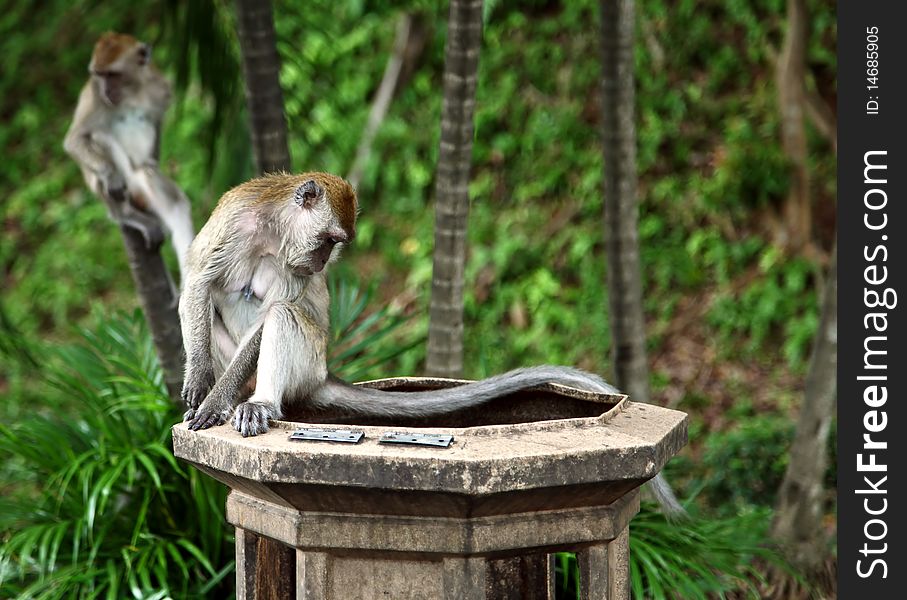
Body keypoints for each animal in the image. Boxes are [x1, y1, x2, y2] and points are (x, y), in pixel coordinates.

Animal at [63, 32, 195, 274]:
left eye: (112, 74)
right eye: (99, 75)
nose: (106, 90)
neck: (132, 92)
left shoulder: (160, 86)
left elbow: (157, 121)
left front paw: (153, 159)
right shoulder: (94, 96)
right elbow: (76, 139)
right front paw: (111, 176)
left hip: (139, 186)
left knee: (171, 200)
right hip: (119, 185)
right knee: (99, 137)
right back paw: (125, 214)